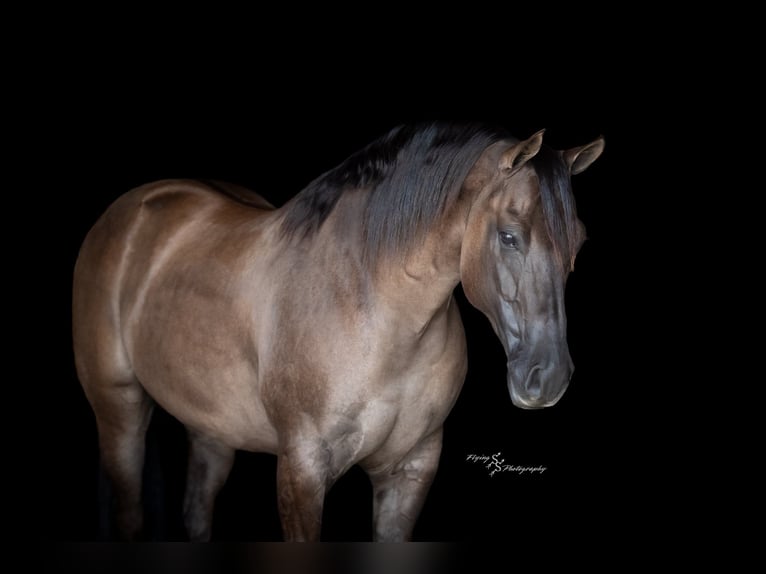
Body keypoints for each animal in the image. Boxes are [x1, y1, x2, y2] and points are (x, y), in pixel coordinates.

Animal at [72, 122, 604, 541]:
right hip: (120, 412)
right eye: (509, 236)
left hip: (212, 430)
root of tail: (131, 208)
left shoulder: (410, 470)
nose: (549, 378)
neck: (376, 314)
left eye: (578, 243)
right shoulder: (302, 471)